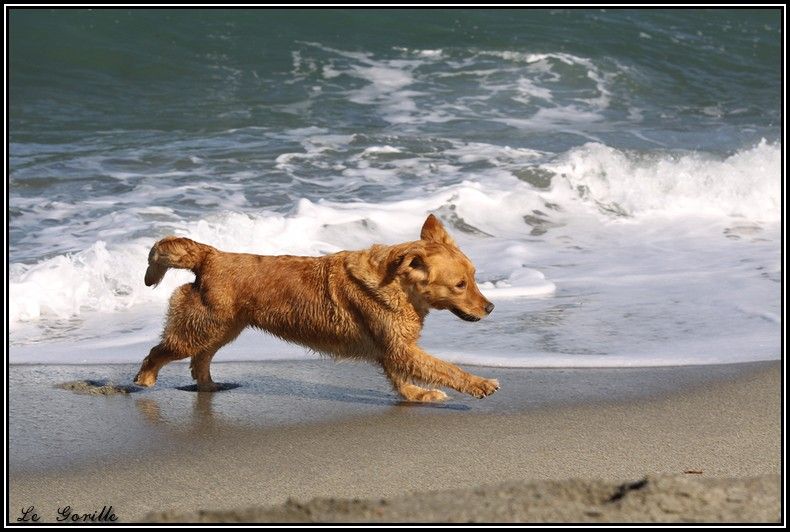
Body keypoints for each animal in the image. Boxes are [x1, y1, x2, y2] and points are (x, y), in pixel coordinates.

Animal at [132, 214, 498, 402]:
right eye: (460, 285)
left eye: (474, 277)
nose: (491, 307)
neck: (398, 286)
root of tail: (211, 256)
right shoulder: (400, 348)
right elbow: (447, 368)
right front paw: (479, 384)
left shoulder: (393, 348)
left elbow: (402, 378)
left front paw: (416, 395)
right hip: (201, 328)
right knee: (159, 351)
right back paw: (144, 379)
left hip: (223, 328)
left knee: (200, 360)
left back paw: (209, 386)